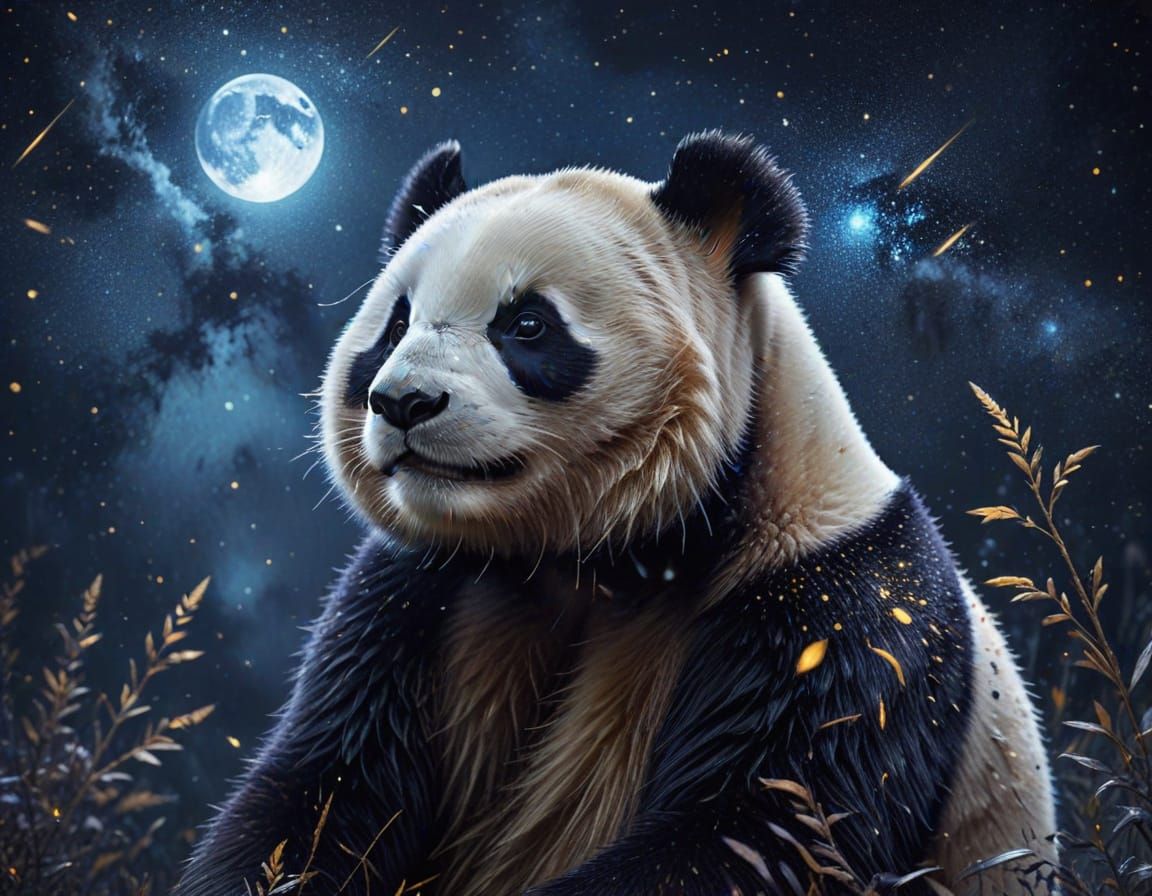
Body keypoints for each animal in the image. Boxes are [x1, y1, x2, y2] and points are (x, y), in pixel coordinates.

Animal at [177, 133, 1057, 896]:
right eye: (394, 323)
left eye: (527, 323)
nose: (403, 402)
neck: (594, 556)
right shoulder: (420, 594)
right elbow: (323, 787)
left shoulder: (837, 609)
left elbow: (765, 831)